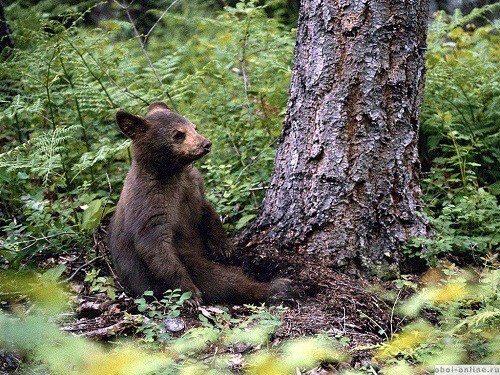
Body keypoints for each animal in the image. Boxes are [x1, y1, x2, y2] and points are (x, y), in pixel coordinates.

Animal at [109, 102, 290, 306]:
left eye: (194, 127)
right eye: (178, 134)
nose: (206, 143)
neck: (173, 171)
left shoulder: (193, 185)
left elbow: (207, 210)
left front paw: (224, 246)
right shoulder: (150, 202)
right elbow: (155, 246)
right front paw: (190, 293)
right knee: (220, 278)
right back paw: (275, 286)